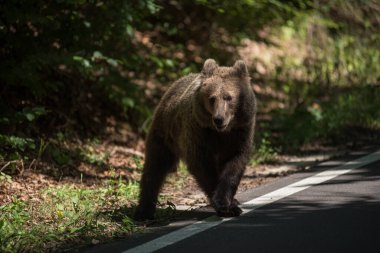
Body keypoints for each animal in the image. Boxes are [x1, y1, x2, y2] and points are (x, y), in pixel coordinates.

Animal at [135, 58, 256, 219]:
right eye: (212, 98)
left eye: (229, 97)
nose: (219, 119)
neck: (222, 132)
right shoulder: (199, 132)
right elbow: (202, 165)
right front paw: (225, 205)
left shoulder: (240, 133)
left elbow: (234, 164)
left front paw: (228, 203)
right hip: (165, 133)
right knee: (155, 167)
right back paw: (144, 211)